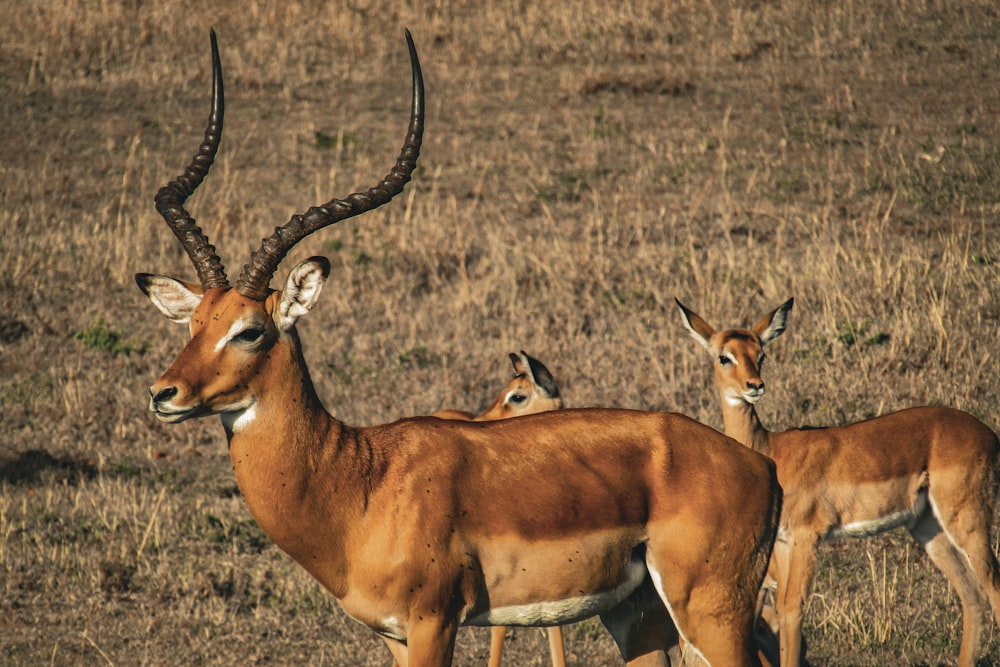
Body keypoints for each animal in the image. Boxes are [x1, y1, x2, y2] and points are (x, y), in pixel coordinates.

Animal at [676, 298, 1000, 667]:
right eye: (724, 356)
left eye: (761, 353)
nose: (754, 386)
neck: (772, 450)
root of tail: (989, 435)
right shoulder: (785, 542)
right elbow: (784, 610)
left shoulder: (808, 536)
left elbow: (794, 609)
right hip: (928, 527)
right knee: (971, 595)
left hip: (967, 519)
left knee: (992, 586)